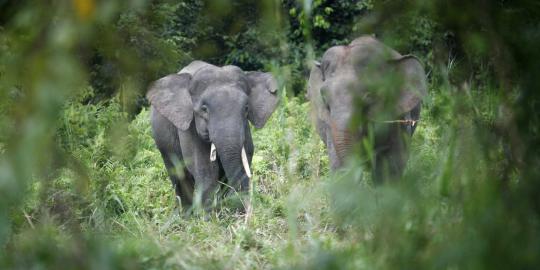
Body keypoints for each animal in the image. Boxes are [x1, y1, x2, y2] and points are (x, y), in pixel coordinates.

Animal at [147, 60, 278, 209]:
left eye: (246, 108)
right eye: (204, 109)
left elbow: (247, 154)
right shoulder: (189, 127)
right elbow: (204, 169)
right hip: (162, 141)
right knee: (179, 175)